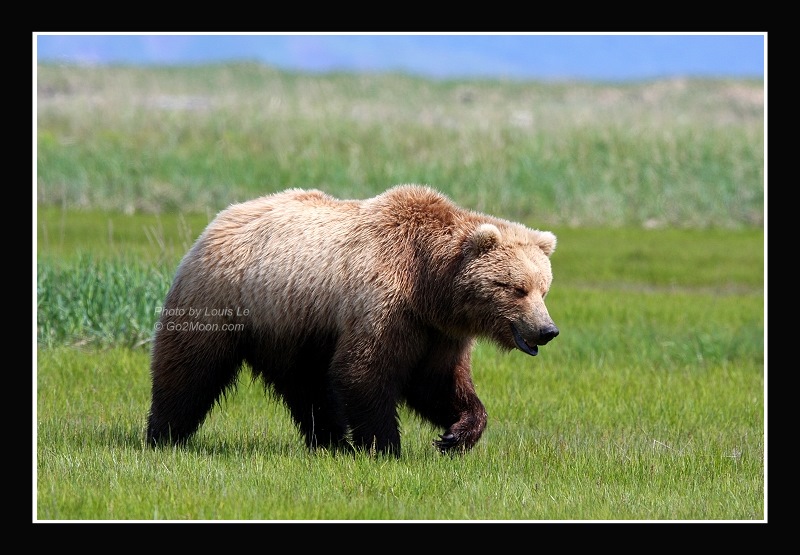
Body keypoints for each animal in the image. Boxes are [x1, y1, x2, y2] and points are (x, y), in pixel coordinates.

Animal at [146, 185, 558, 456]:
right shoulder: (383, 305)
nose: (547, 330)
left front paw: (456, 435)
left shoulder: (437, 331)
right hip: (224, 301)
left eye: (544, 288)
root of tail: (216, 221)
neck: (428, 282)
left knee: (306, 385)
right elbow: (363, 372)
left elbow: (437, 382)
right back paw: (162, 435)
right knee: (189, 369)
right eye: (517, 288)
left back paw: (329, 441)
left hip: (293, 324)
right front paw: (387, 447)